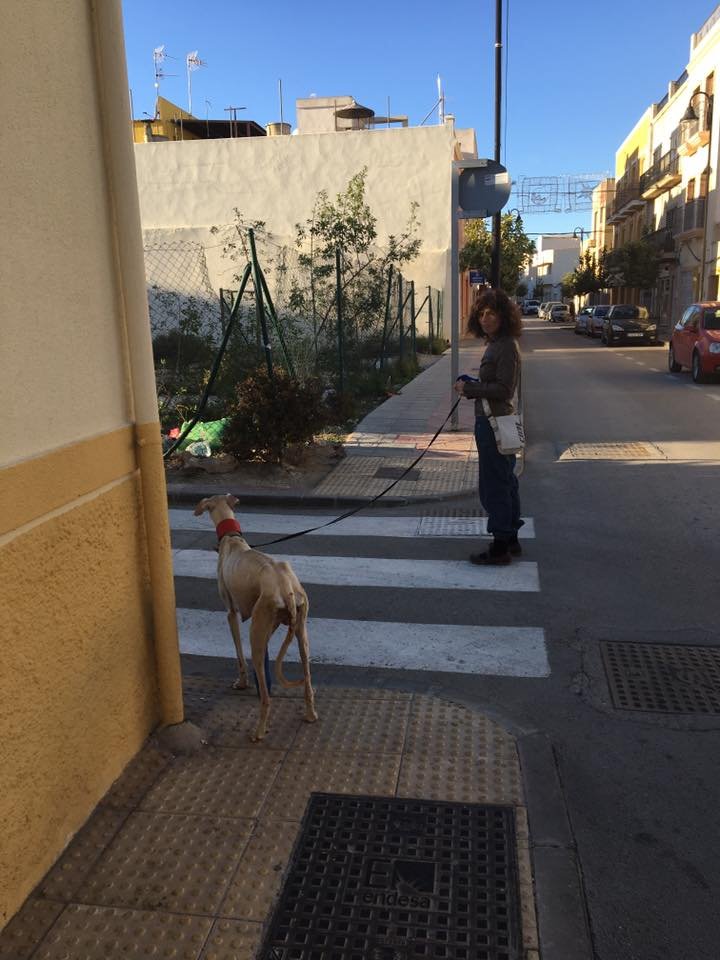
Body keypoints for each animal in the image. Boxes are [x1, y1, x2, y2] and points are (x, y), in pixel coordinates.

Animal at [193, 492, 316, 740]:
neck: (232, 540)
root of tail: (287, 588)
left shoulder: (231, 613)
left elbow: (238, 653)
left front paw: (242, 682)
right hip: (300, 633)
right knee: (307, 681)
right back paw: (310, 714)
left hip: (256, 636)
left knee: (266, 699)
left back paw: (259, 731)